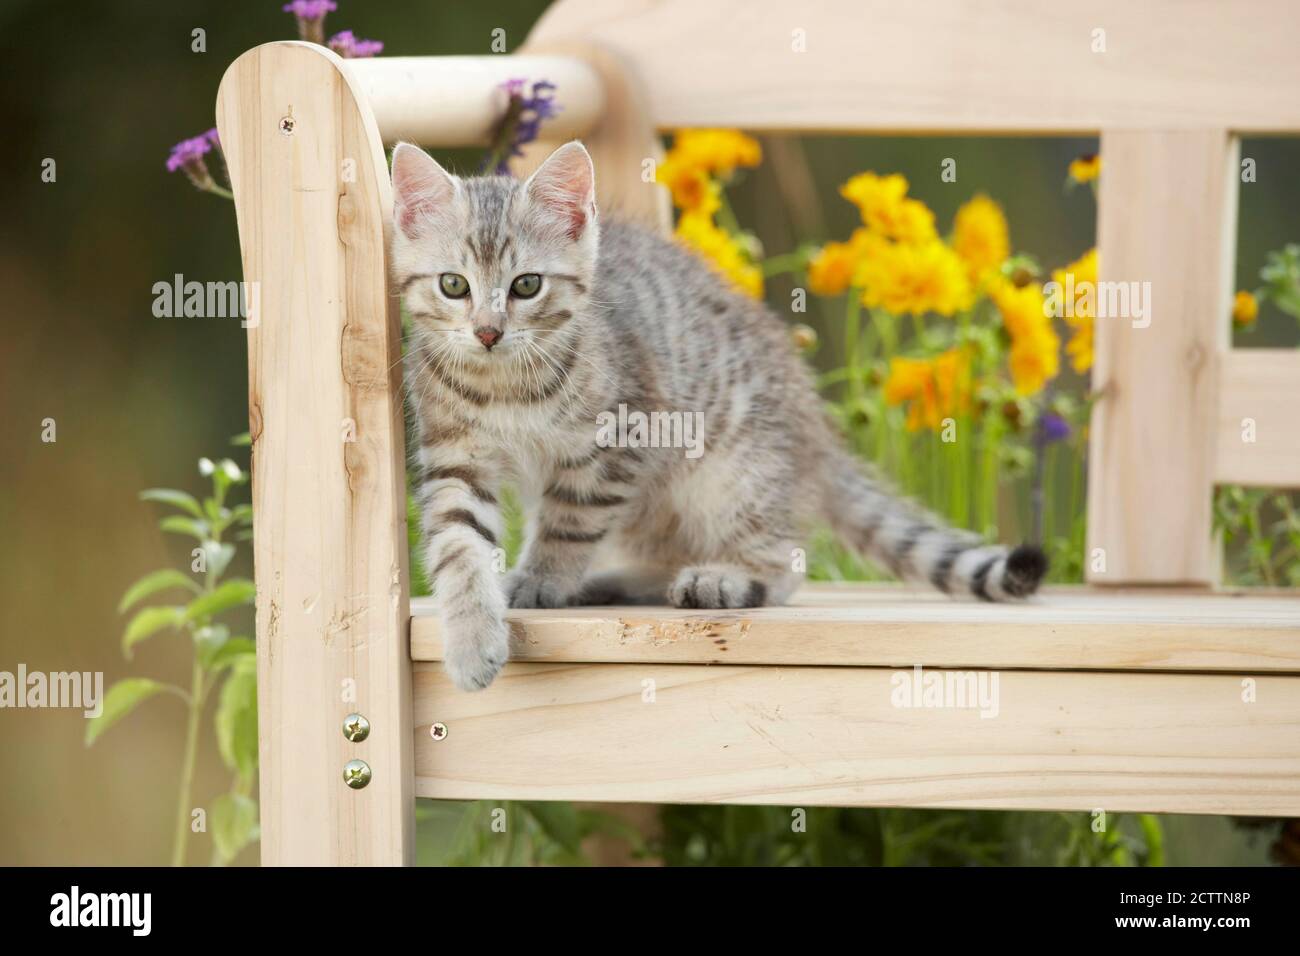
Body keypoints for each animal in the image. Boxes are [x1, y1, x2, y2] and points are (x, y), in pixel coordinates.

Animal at [387, 141, 1045, 691]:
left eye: (526, 285)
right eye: (453, 285)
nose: (488, 332)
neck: (503, 384)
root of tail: (818, 440)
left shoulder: (619, 444)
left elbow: (568, 524)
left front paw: (542, 579)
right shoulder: (457, 458)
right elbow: (458, 546)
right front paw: (472, 637)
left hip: (735, 475)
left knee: (784, 562)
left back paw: (721, 579)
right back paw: (616, 581)